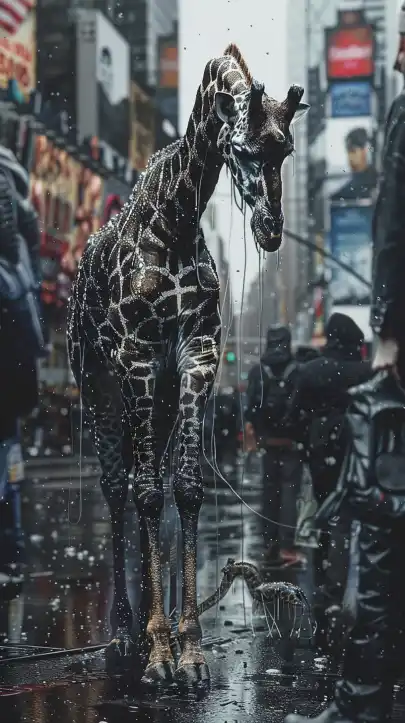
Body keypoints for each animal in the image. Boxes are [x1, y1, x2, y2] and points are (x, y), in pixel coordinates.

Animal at [67, 44, 309, 688]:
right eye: (243, 147)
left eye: (285, 149)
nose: (271, 231)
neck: (173, 223)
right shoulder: (137, 358)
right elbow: (149, 494)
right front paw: (156, 651)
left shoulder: (197, 356)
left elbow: (189, 488)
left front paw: (191, 648)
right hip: (97, 385)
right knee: (117, 487)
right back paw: (124, 632)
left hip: (162, 396)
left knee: (146, 479)